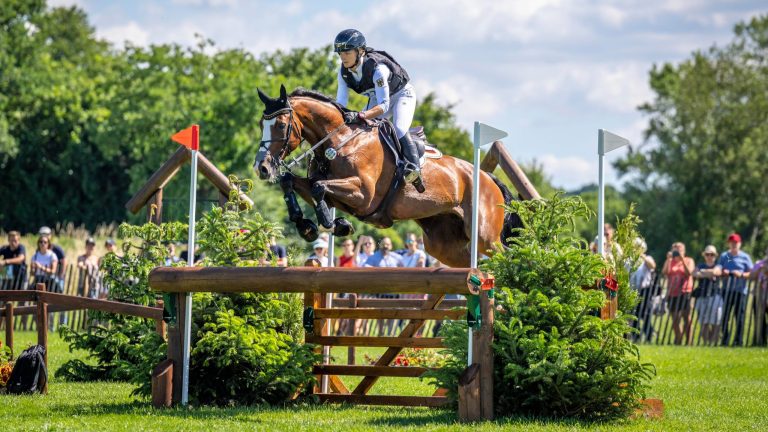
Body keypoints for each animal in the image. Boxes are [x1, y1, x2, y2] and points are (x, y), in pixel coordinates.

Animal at [253, 84, 521, 268]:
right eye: (260, 125)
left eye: (280, 125)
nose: (262, 167)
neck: (339, 141)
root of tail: (488, 179)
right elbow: (293, 182)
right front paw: (311, 226)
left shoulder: (363, 195)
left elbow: (319, 187)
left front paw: (330, 222)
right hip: (444, 245)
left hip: (484, 236)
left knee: (502, 257)